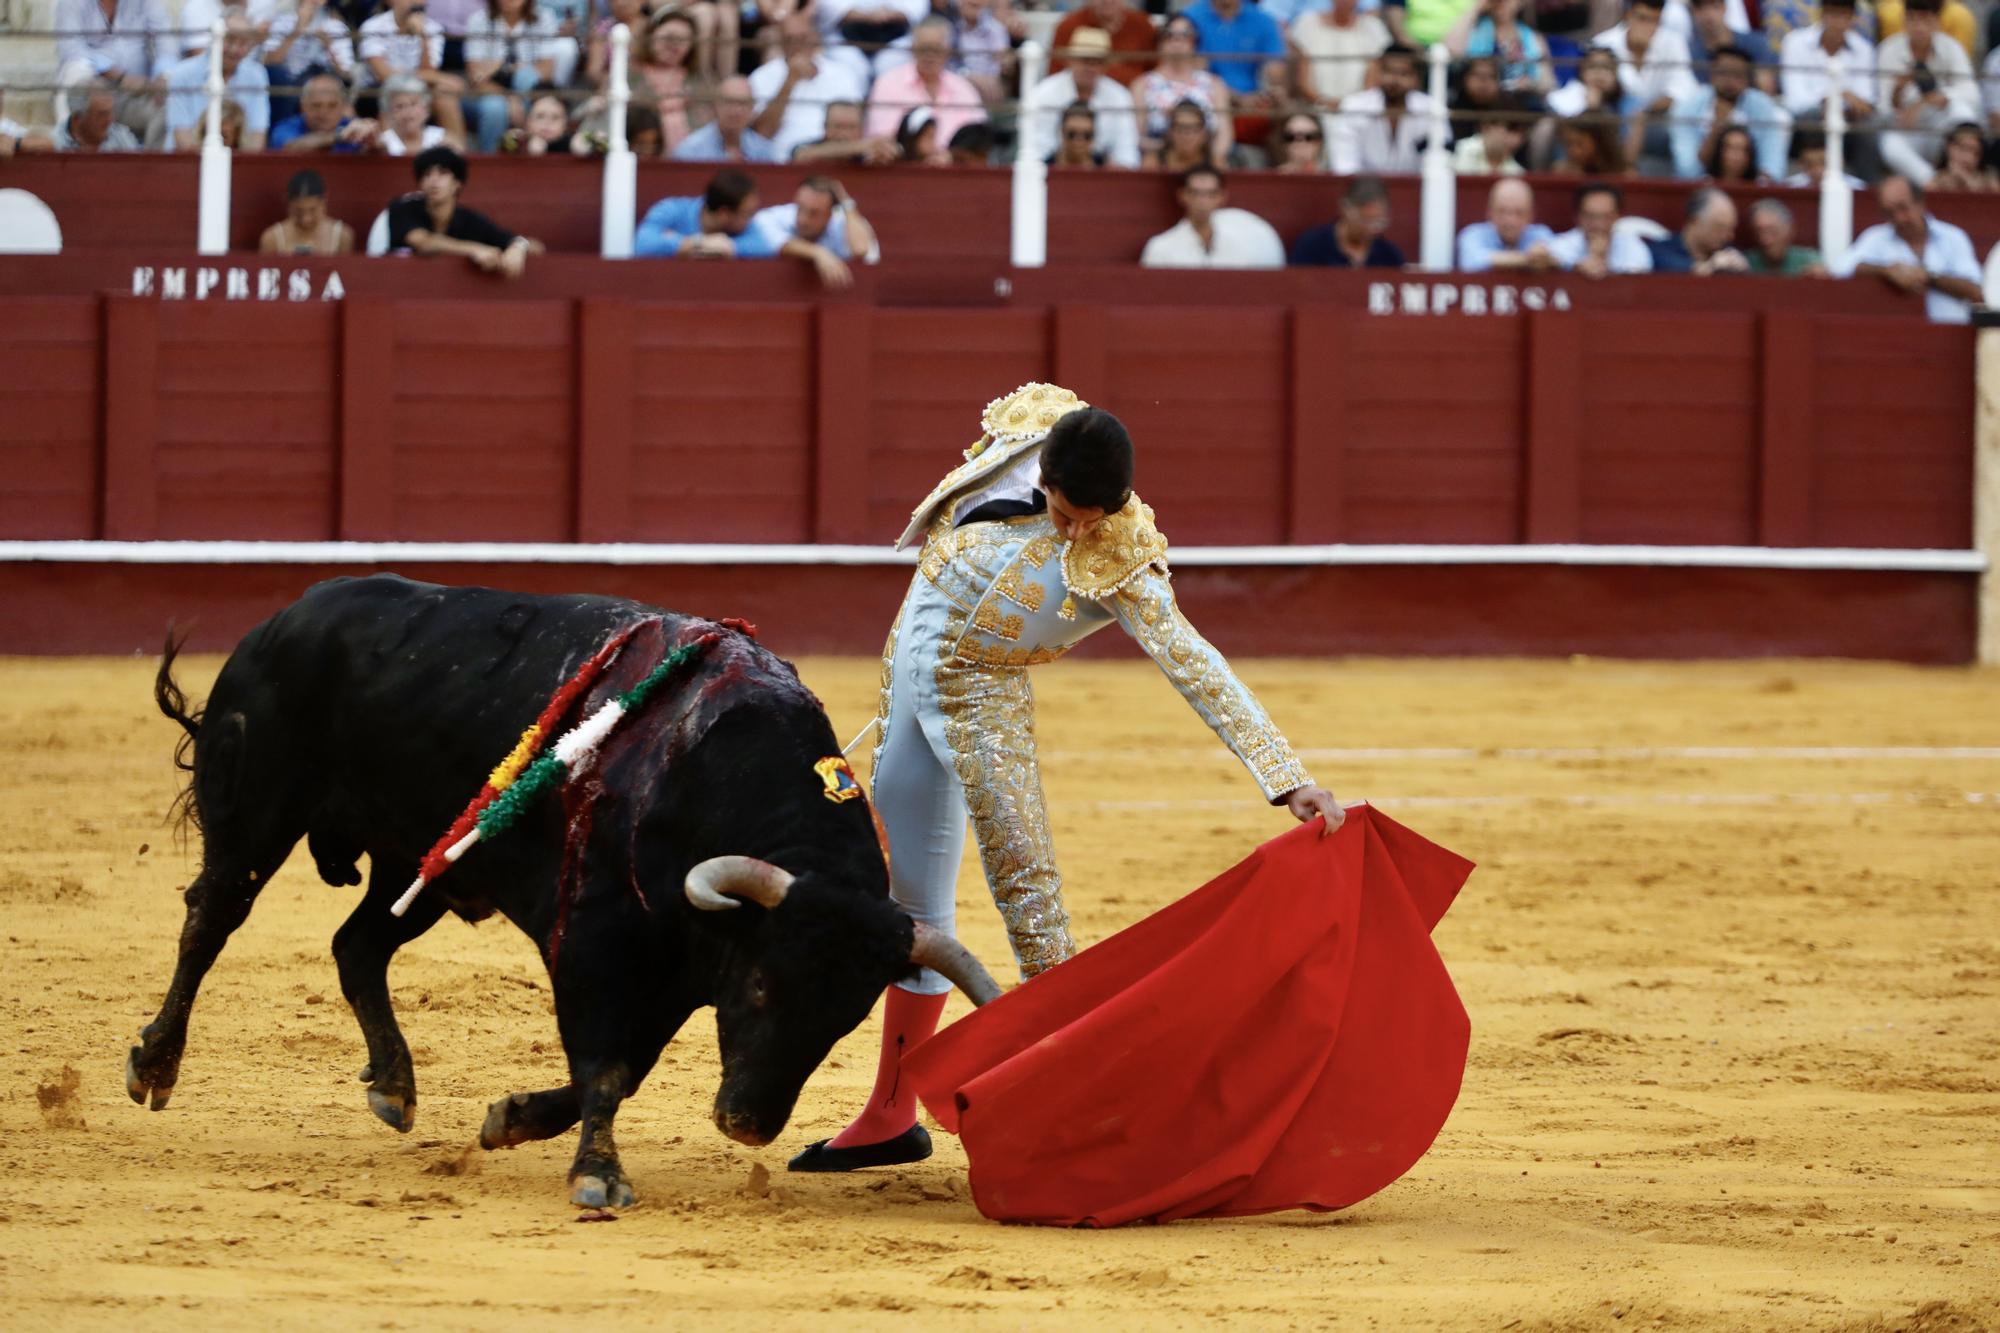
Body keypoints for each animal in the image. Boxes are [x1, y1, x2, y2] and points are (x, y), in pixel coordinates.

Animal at [129, 572, 996, 1200]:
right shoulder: (593, 940)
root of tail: (288, 614)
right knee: (211, 918)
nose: (748, 1122)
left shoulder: (679, 965)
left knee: (358, 943)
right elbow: (604, 1062)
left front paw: (513, 1119)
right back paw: (155, 1066)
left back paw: (396, 1086)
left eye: (846, 1021)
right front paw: (597, 1174)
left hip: (424, 867)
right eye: (759, 987)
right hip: (257, 812)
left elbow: (621, 1067)